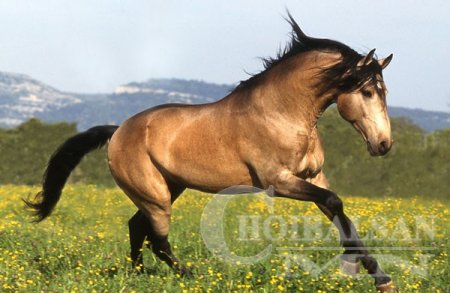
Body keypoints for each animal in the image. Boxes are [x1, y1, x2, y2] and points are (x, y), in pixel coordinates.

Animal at [26, 13, 396, 292]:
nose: (383, 144)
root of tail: (118, 131)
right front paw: (358, 266)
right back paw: (189, 275)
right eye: (366, 91)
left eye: (384, 91)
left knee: (136, 227)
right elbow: (335, 203)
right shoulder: (278, 182)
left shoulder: (313, 177)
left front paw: (381, 278)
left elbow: (340, 212)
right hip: (156, 196)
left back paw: (138, 275)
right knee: (156, 238)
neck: (281, 113)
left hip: (167, 189)